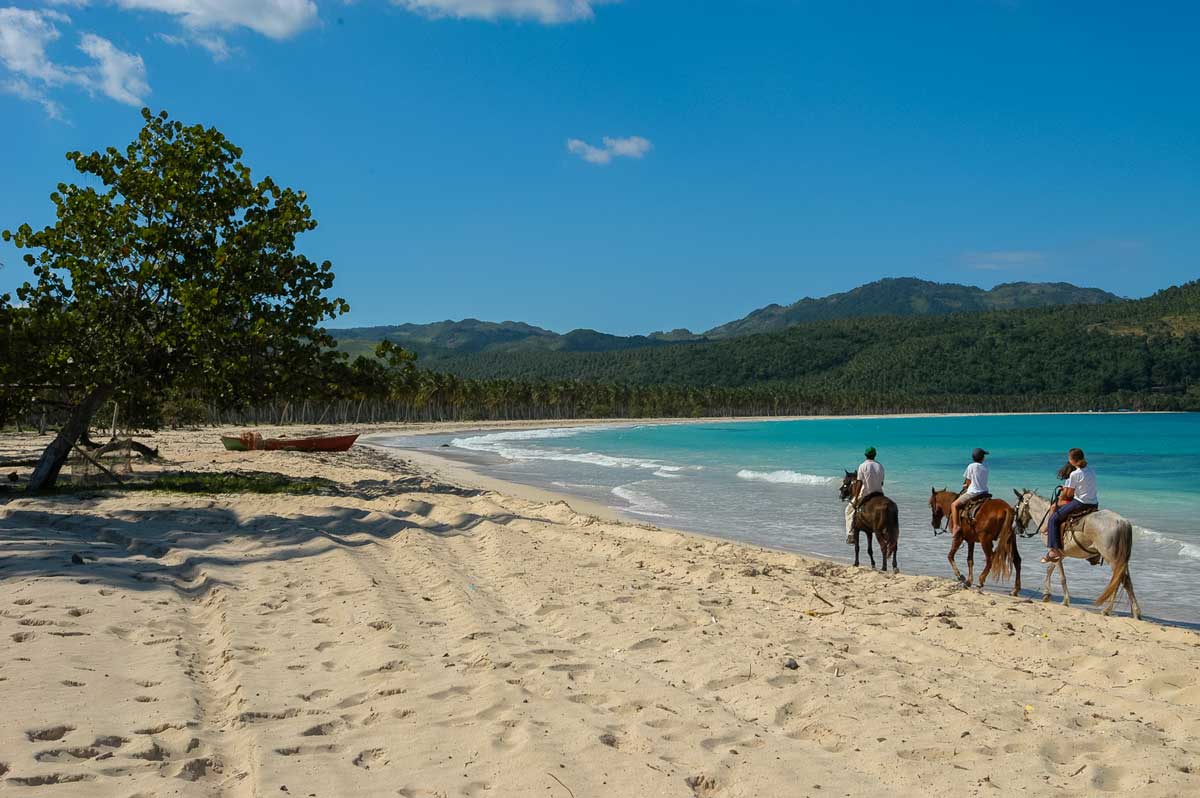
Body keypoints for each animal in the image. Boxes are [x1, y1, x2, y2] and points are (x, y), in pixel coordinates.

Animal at [1012, 484, 1142, 624]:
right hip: (1122, 560)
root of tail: (1123, 522)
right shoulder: (1060, 554)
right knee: (1126, 582)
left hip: (1113, 559)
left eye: (1015, 508)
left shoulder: (1055, 552)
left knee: (1120, 581)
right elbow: (1050, 569)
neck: (1046, 517)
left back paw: (1108, 610)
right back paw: (1135, 613)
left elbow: (1061, 576)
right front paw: (1047, 595)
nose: (1015, 528)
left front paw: (1065, 601)